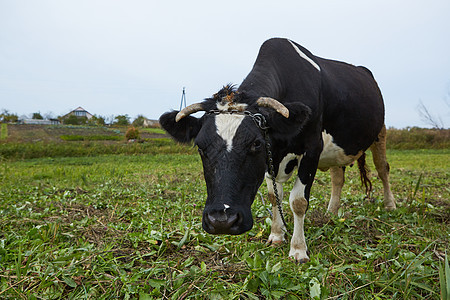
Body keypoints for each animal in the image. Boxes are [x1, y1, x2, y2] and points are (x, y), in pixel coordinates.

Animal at [160, 38, 396, 262]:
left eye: (255, 143)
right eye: (200, 146)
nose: (221, 221)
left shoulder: (312, 148)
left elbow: (298, 201)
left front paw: (298, 249)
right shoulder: (272, 156)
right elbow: (275, 196)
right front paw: (276, 235)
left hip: (380, 131)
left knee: (382, 168)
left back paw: (390, 205)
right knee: (338, 177)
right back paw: (331, 213)